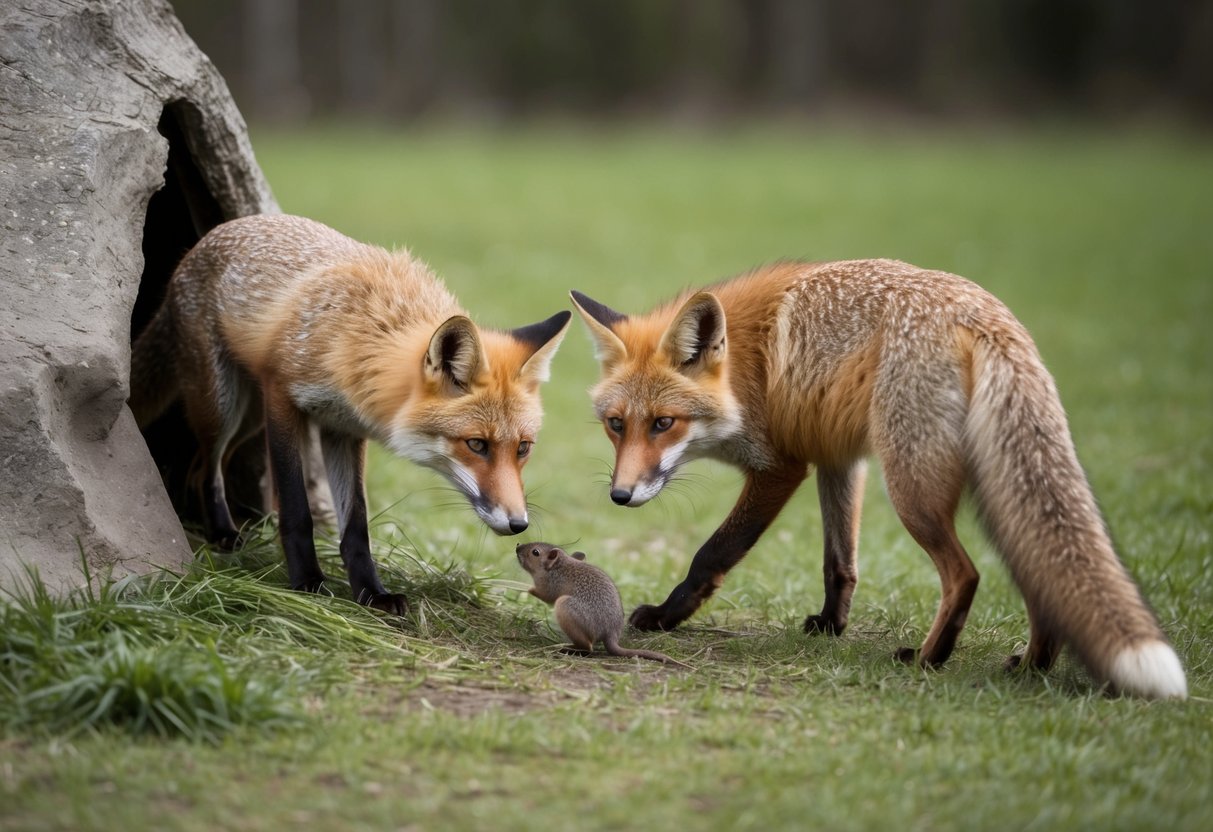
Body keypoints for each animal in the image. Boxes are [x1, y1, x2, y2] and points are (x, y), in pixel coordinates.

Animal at [130, 214, 570, 613]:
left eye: (523, 448)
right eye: (476, 444)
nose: (518, 524)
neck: (361, 336)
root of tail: (207, 239)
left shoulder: (344, 428)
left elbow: (356, 526)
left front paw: (371, 593)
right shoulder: (283, 398)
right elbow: (297, 510)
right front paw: (307, 582)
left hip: (248, 417)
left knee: (200, 468)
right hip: (222, 405)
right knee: (206, 467)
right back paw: (222, 533)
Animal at [570, 259, 1188, 699]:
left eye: (663, 423)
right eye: (616, 424)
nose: (620, 495)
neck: (747, 368)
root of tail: (990, 316)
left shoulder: (780, 466)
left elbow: (712, 553)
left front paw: (664, 616)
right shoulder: (837, 459)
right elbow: (839, 561)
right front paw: (831, 624)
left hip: (913, 488)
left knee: (964, 575)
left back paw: (930, 659)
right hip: (989, 486)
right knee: (1039, 573)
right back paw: (1031, 666)